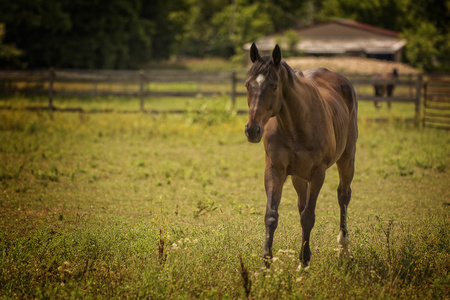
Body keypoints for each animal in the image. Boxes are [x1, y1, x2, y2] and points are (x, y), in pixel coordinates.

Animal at [244, 42, 356, 268]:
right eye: (247, 85)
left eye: (274, 86)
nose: (252, 130)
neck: (295, 125)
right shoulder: (275, 170)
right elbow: (271, 215)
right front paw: (266, 264)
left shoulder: (318, 174)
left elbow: (308, 217)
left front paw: (303, 262)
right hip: (297, 176)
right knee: (302, 204)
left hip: (347, 160)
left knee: (343, 196)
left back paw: (343, 248)